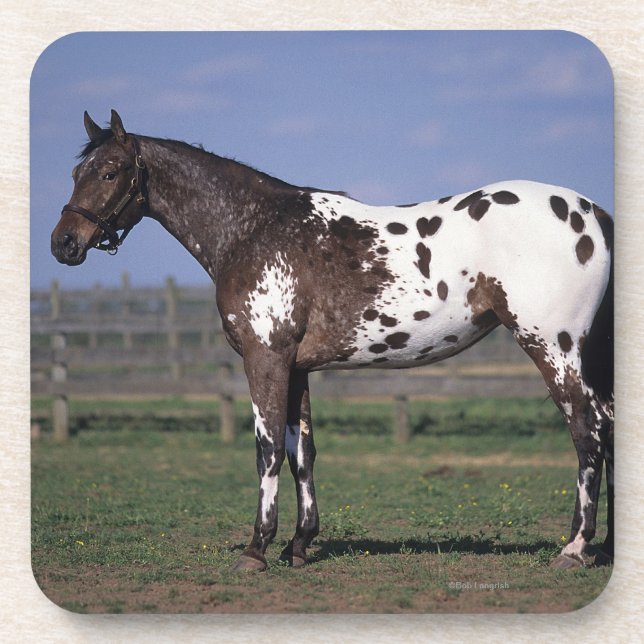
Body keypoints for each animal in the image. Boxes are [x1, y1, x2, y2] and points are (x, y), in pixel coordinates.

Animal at [51, 110, 613, 572]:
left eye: (110, 172)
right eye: (77, 173)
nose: (64, 244)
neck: (252, 229)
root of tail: (592, 212)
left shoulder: (265, 358)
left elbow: (267, 449)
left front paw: (256, 549)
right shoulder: (297, 366)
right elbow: (303, 451)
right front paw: (299, 545)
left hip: (553, 347)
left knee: (587, 432)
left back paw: (572, 549)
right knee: (608, 426)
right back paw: (603, 548)